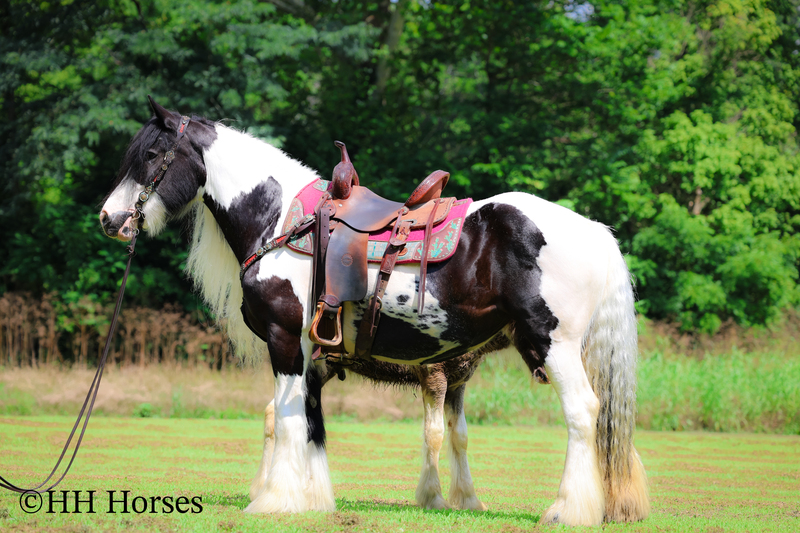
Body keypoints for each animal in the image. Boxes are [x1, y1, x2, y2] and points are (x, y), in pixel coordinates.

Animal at [100, 97, 649, 525]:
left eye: (151, 155)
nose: (109, 218)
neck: (281, 223)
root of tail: (593, 231)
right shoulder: (315, 355)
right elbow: (311, 424)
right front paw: (313, 500)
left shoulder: (285, 341)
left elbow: (287, 418)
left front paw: (275, 501)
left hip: (554, 343)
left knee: (583, 412)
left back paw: (566, 510)